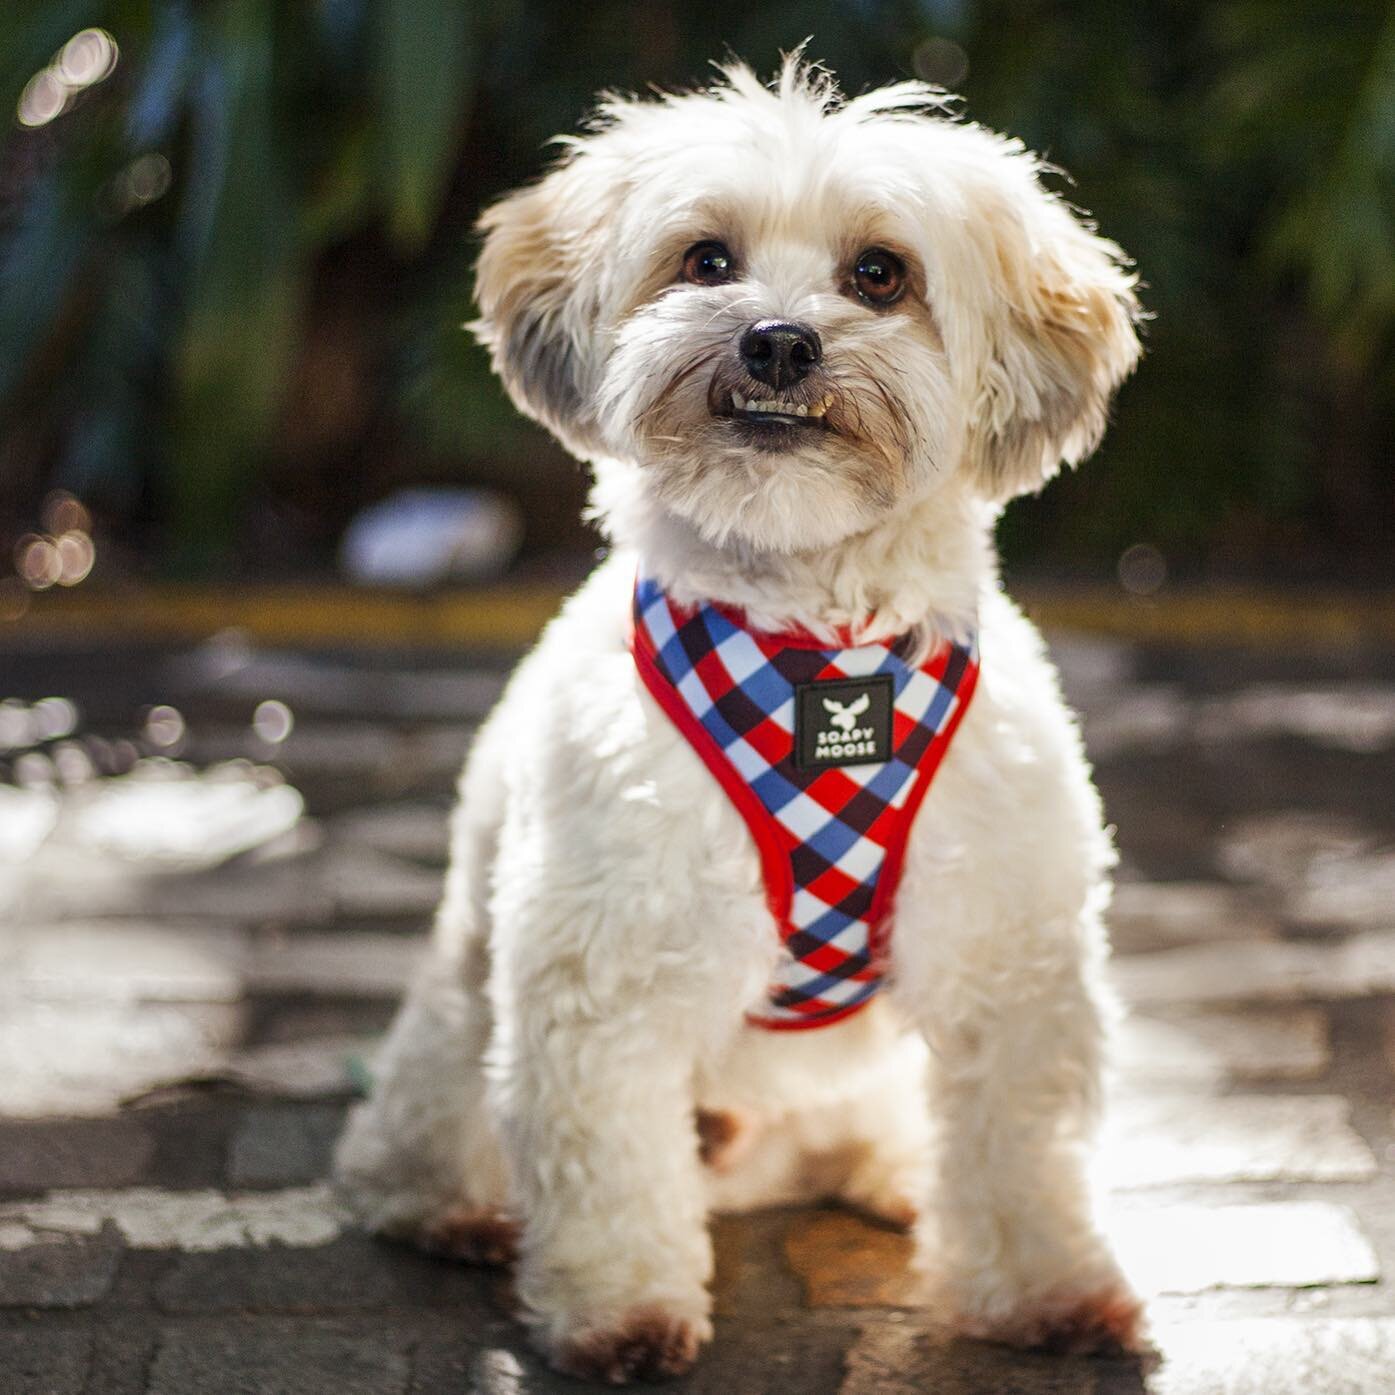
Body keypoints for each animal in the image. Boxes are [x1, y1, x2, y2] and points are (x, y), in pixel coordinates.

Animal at [337, 57, 1143, 1383]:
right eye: (706, 259)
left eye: (881, 273)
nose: (777, 339)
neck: (817, 652)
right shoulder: (599, 978)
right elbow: (608, 1168)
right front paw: (619, 1311)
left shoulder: (1007, 966)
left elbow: (1019, 1155)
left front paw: (1048, 1288)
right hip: (457, 1014)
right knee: (410, 1143)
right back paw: (459, 1208)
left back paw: (893, 1178)